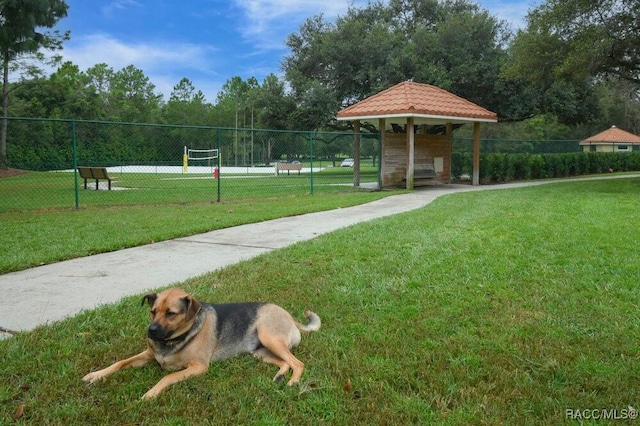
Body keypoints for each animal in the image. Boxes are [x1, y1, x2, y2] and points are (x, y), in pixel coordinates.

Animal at [82, 286, 320, 400]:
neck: (176, 338)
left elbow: (167, 377)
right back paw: (280, 376)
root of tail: (291, 318)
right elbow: (120, 362)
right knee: (286, 362)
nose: (151, 332)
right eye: (153, 311)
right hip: (259, 351)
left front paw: (151, 393)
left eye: (171, 313)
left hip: (269, 337)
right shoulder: (148, 355)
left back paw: (293, 382)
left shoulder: (198, 367)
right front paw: (96, 375)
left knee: (298, 363)